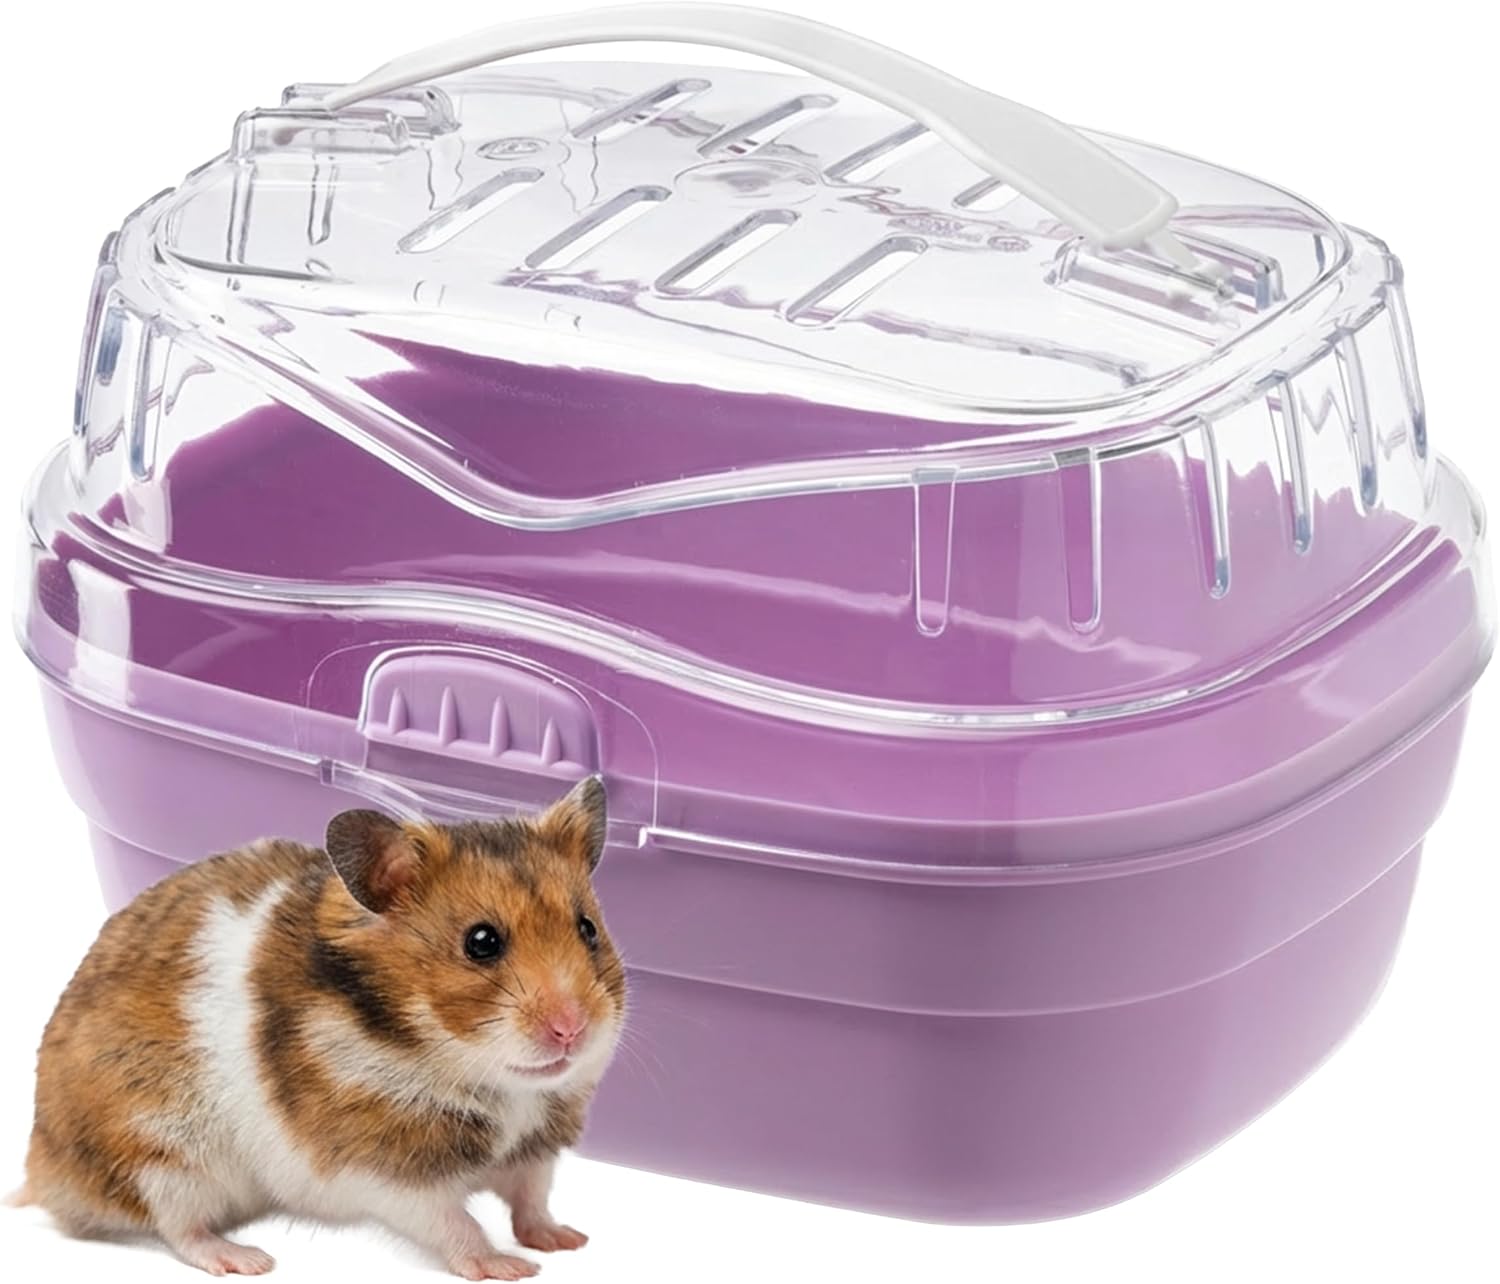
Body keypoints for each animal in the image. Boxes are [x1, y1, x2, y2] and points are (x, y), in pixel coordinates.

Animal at [13, 776, 625, 1279]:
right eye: (481, 942)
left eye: (588, 928)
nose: (571, 1030)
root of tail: (42, 1171)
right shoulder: (384, 1168)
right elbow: (453, 1221)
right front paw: (509, 1268)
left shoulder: (533, 1150)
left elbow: (531, 1198)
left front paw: (566, 1241)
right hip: (161, 1152)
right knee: (178, 1227)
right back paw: (247, 1259)